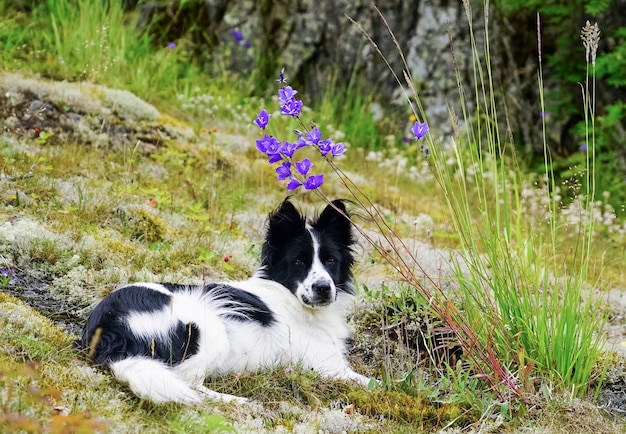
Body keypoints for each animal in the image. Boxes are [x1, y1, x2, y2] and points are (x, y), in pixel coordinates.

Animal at [77, 199, 370, 404]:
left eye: (331, 260)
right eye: (299, 262)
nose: (323, 289)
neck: (290, 298)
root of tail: (109, 325)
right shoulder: (327, 366)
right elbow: (375, 383)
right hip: (209, 329)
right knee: (189, 383)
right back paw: (237, 400)